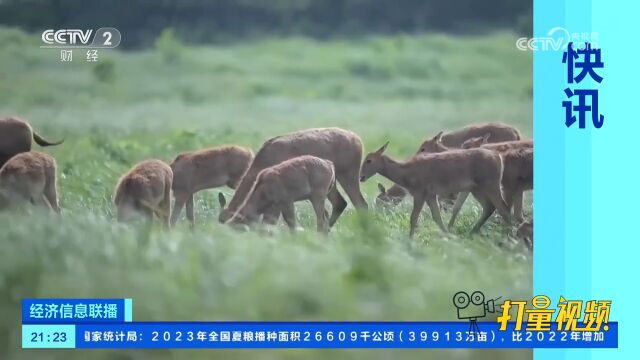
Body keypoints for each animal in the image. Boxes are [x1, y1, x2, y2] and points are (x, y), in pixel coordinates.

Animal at [218, 128, 364, 226]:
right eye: (221, 220)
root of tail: (357, 140)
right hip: (331, 186)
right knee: (340, 204)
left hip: (348, 175)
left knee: (361, 204)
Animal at [360, 142, 510, 238]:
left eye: (369, 160)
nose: (361, 176)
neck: (407, 174)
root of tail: (499, 158)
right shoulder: (431, 195)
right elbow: (437, 217)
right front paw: (447, 236)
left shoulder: (420, 192)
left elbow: (414, 217)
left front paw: (410, 241)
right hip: (476, 188)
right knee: (490, 207)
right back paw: (471, 233)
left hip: (490, 184)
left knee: (504, 209)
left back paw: (507, 236)